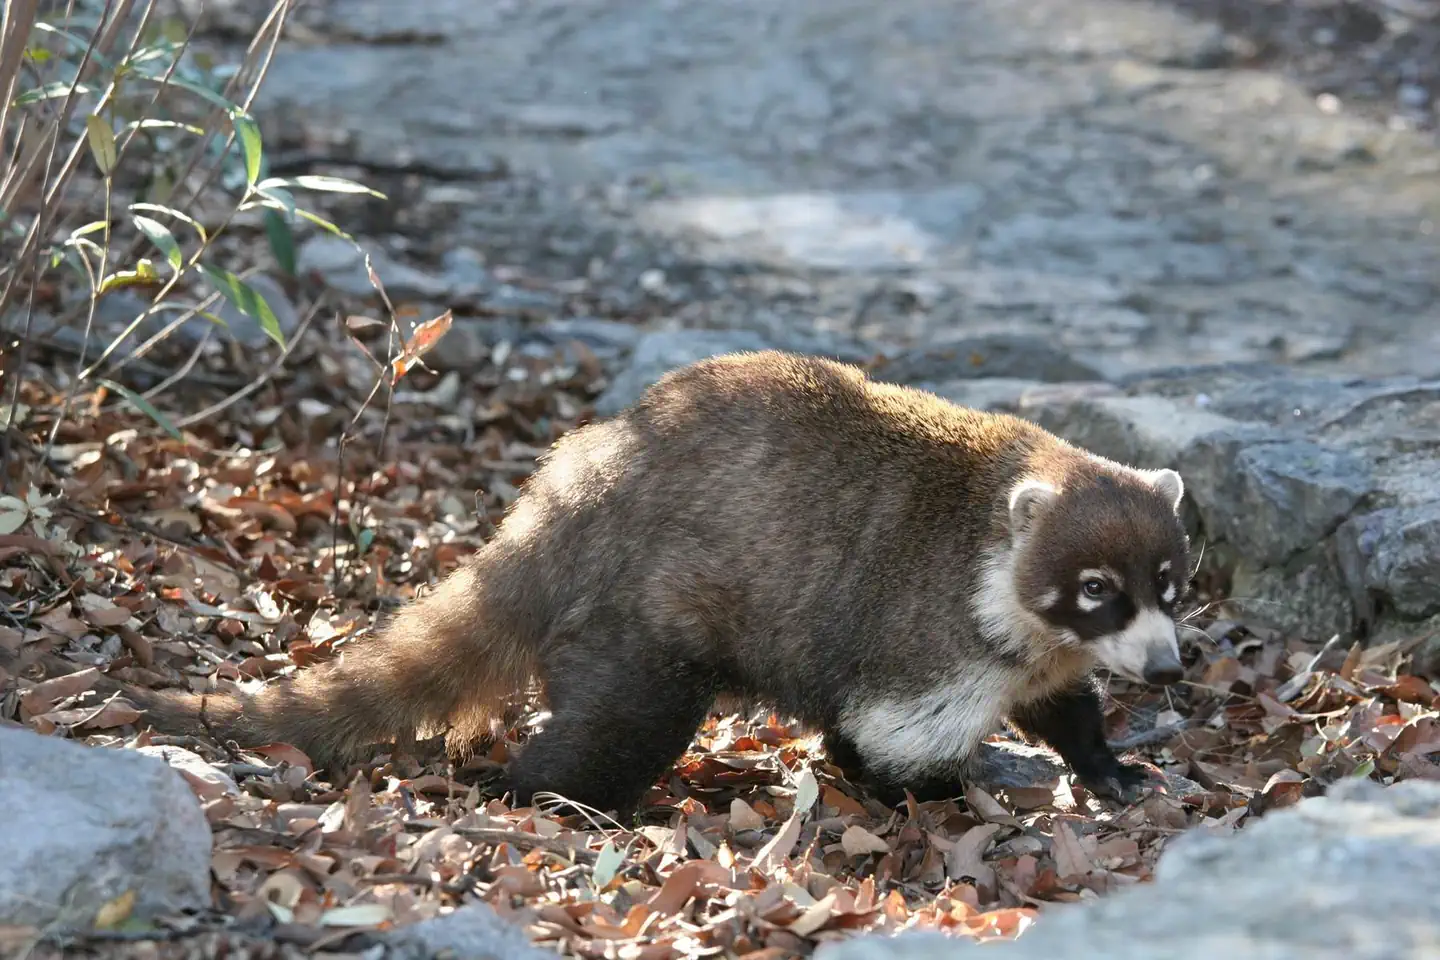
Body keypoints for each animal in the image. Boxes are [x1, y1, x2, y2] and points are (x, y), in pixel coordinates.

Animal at [123, 350, 1191, 814]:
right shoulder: (929, 636)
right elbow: (881, 738)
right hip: (638, 621)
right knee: (624, 722)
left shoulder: (1029, 649)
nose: (1172, 672)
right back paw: (546, 794)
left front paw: (1102, 759)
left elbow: (1059, 703)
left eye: (1170, 585)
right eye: (1098, 588)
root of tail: (562, 499)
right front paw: (935, 794)